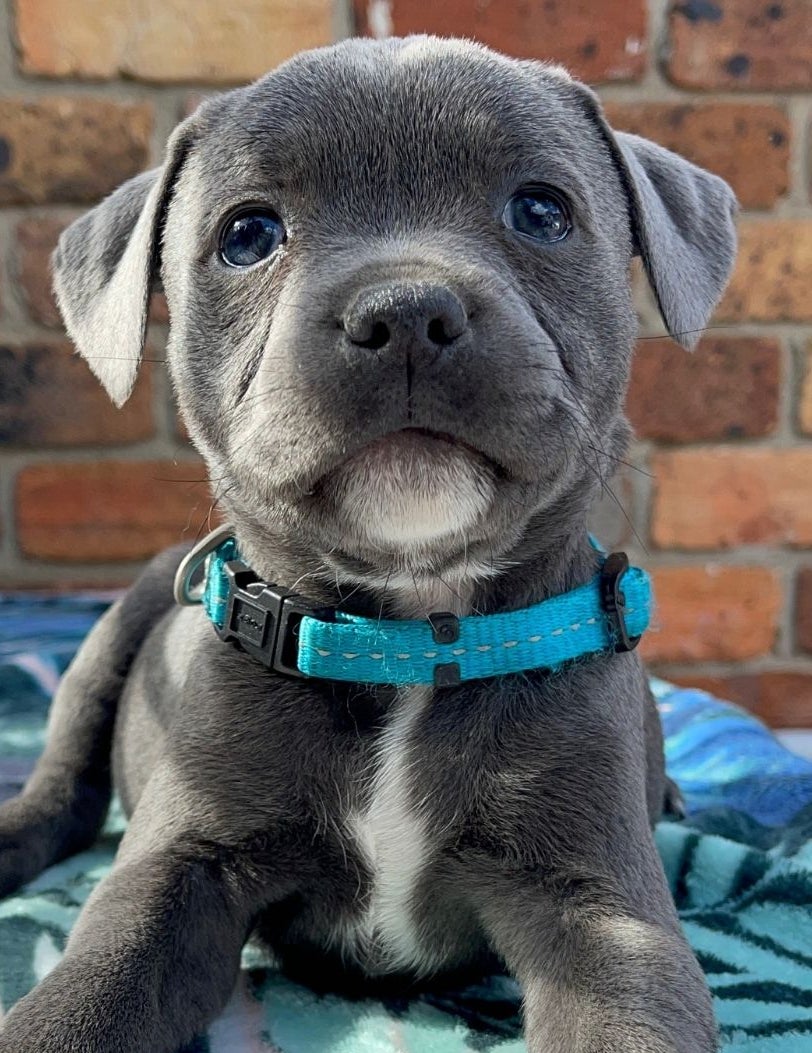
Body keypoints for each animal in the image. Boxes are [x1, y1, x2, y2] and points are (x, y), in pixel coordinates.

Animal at [0, 35, 737, 1053]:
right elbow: (87, 994)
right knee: (61, 789)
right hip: (109, 647)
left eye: (542, 210)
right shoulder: (179, 866)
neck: (408, 638)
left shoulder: (602, 909)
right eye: (248, 235)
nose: (406, 310)